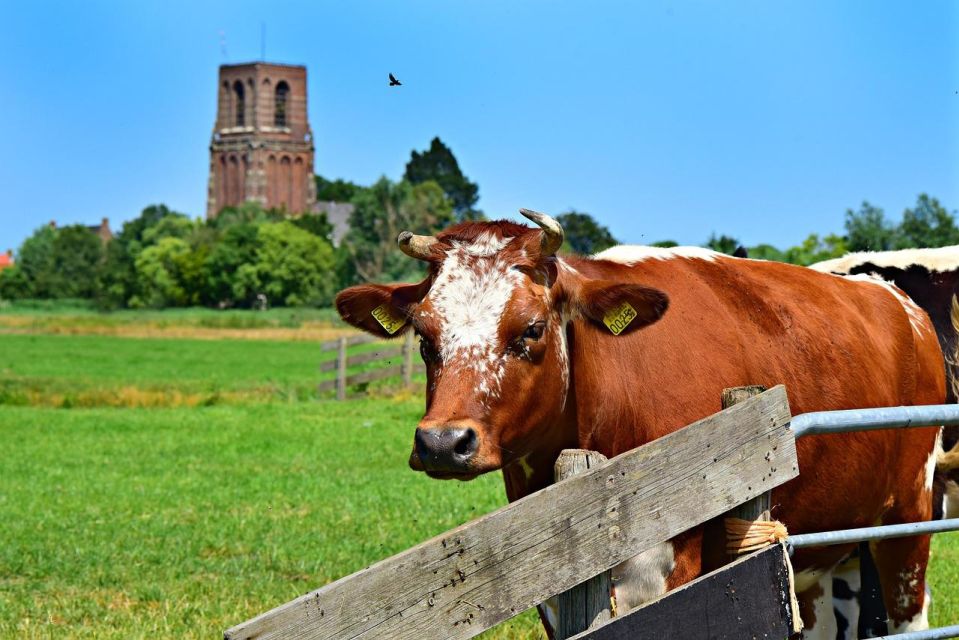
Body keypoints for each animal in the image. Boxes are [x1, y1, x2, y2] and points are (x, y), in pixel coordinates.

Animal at [338, 212, 944, 636]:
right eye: (423, 336)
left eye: (531, 329)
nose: (442, 442)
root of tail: (900, 302)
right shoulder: (551, 588)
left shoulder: (670, 569)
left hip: (910, 513)